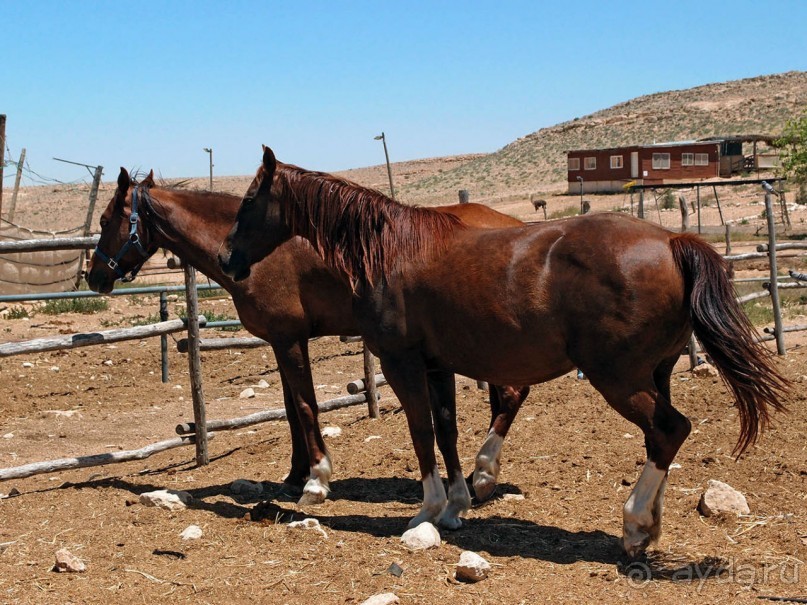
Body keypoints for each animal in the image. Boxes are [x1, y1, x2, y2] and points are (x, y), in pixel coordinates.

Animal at [85, 166, 528, 504]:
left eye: (106, 221)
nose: (94, 277)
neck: (259, 248)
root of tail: (515, 226)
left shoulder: (289, 339)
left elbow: (304, 406)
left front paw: (316, 479)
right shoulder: (281, 341)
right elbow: (290, 409)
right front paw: (295, 475)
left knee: (510, 394)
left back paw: (481, 477)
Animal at [218, 147, 792, 556]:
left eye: (247, 201)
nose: (227, 258)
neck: (389, 250)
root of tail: (672, 242)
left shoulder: (401, 362)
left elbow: (421, 431)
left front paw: (425, 510)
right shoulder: (437, 366)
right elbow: (446, 430)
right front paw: (454, 506)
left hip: (620, 378)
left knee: (670, 430)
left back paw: (632, 526)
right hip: (657, 373)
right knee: (660, 438)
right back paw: (649, 527)